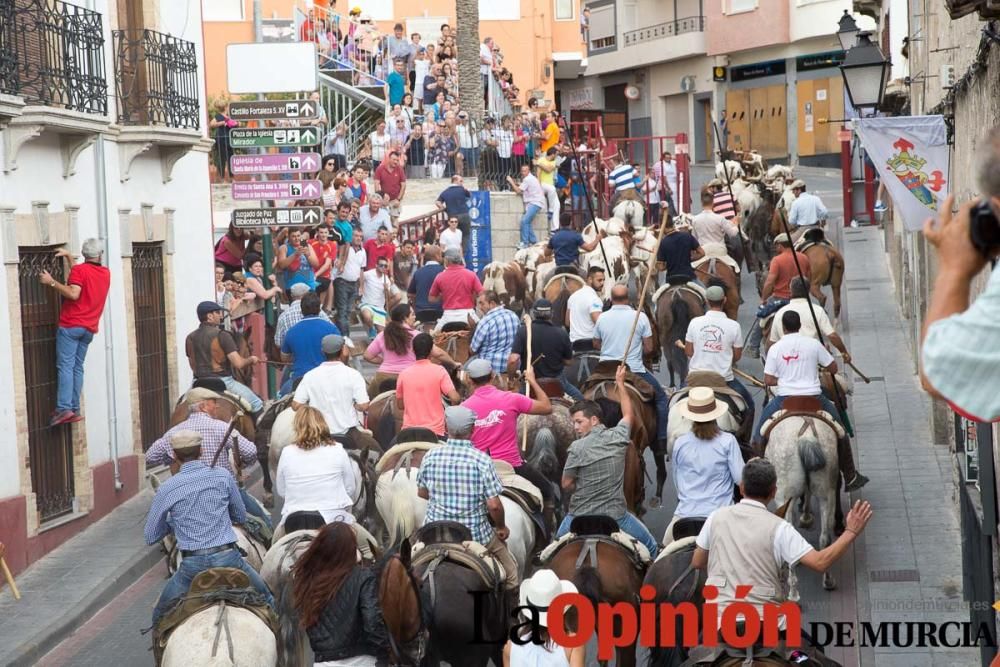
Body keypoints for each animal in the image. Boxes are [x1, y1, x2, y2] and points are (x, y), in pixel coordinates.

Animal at [768, 414, 840, 596]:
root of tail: (806, 437)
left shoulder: (786, 499)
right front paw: (806, 517)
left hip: (783, 495)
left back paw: (793, 593)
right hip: (826, 493)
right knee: (825, 538)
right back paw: (828, 581)